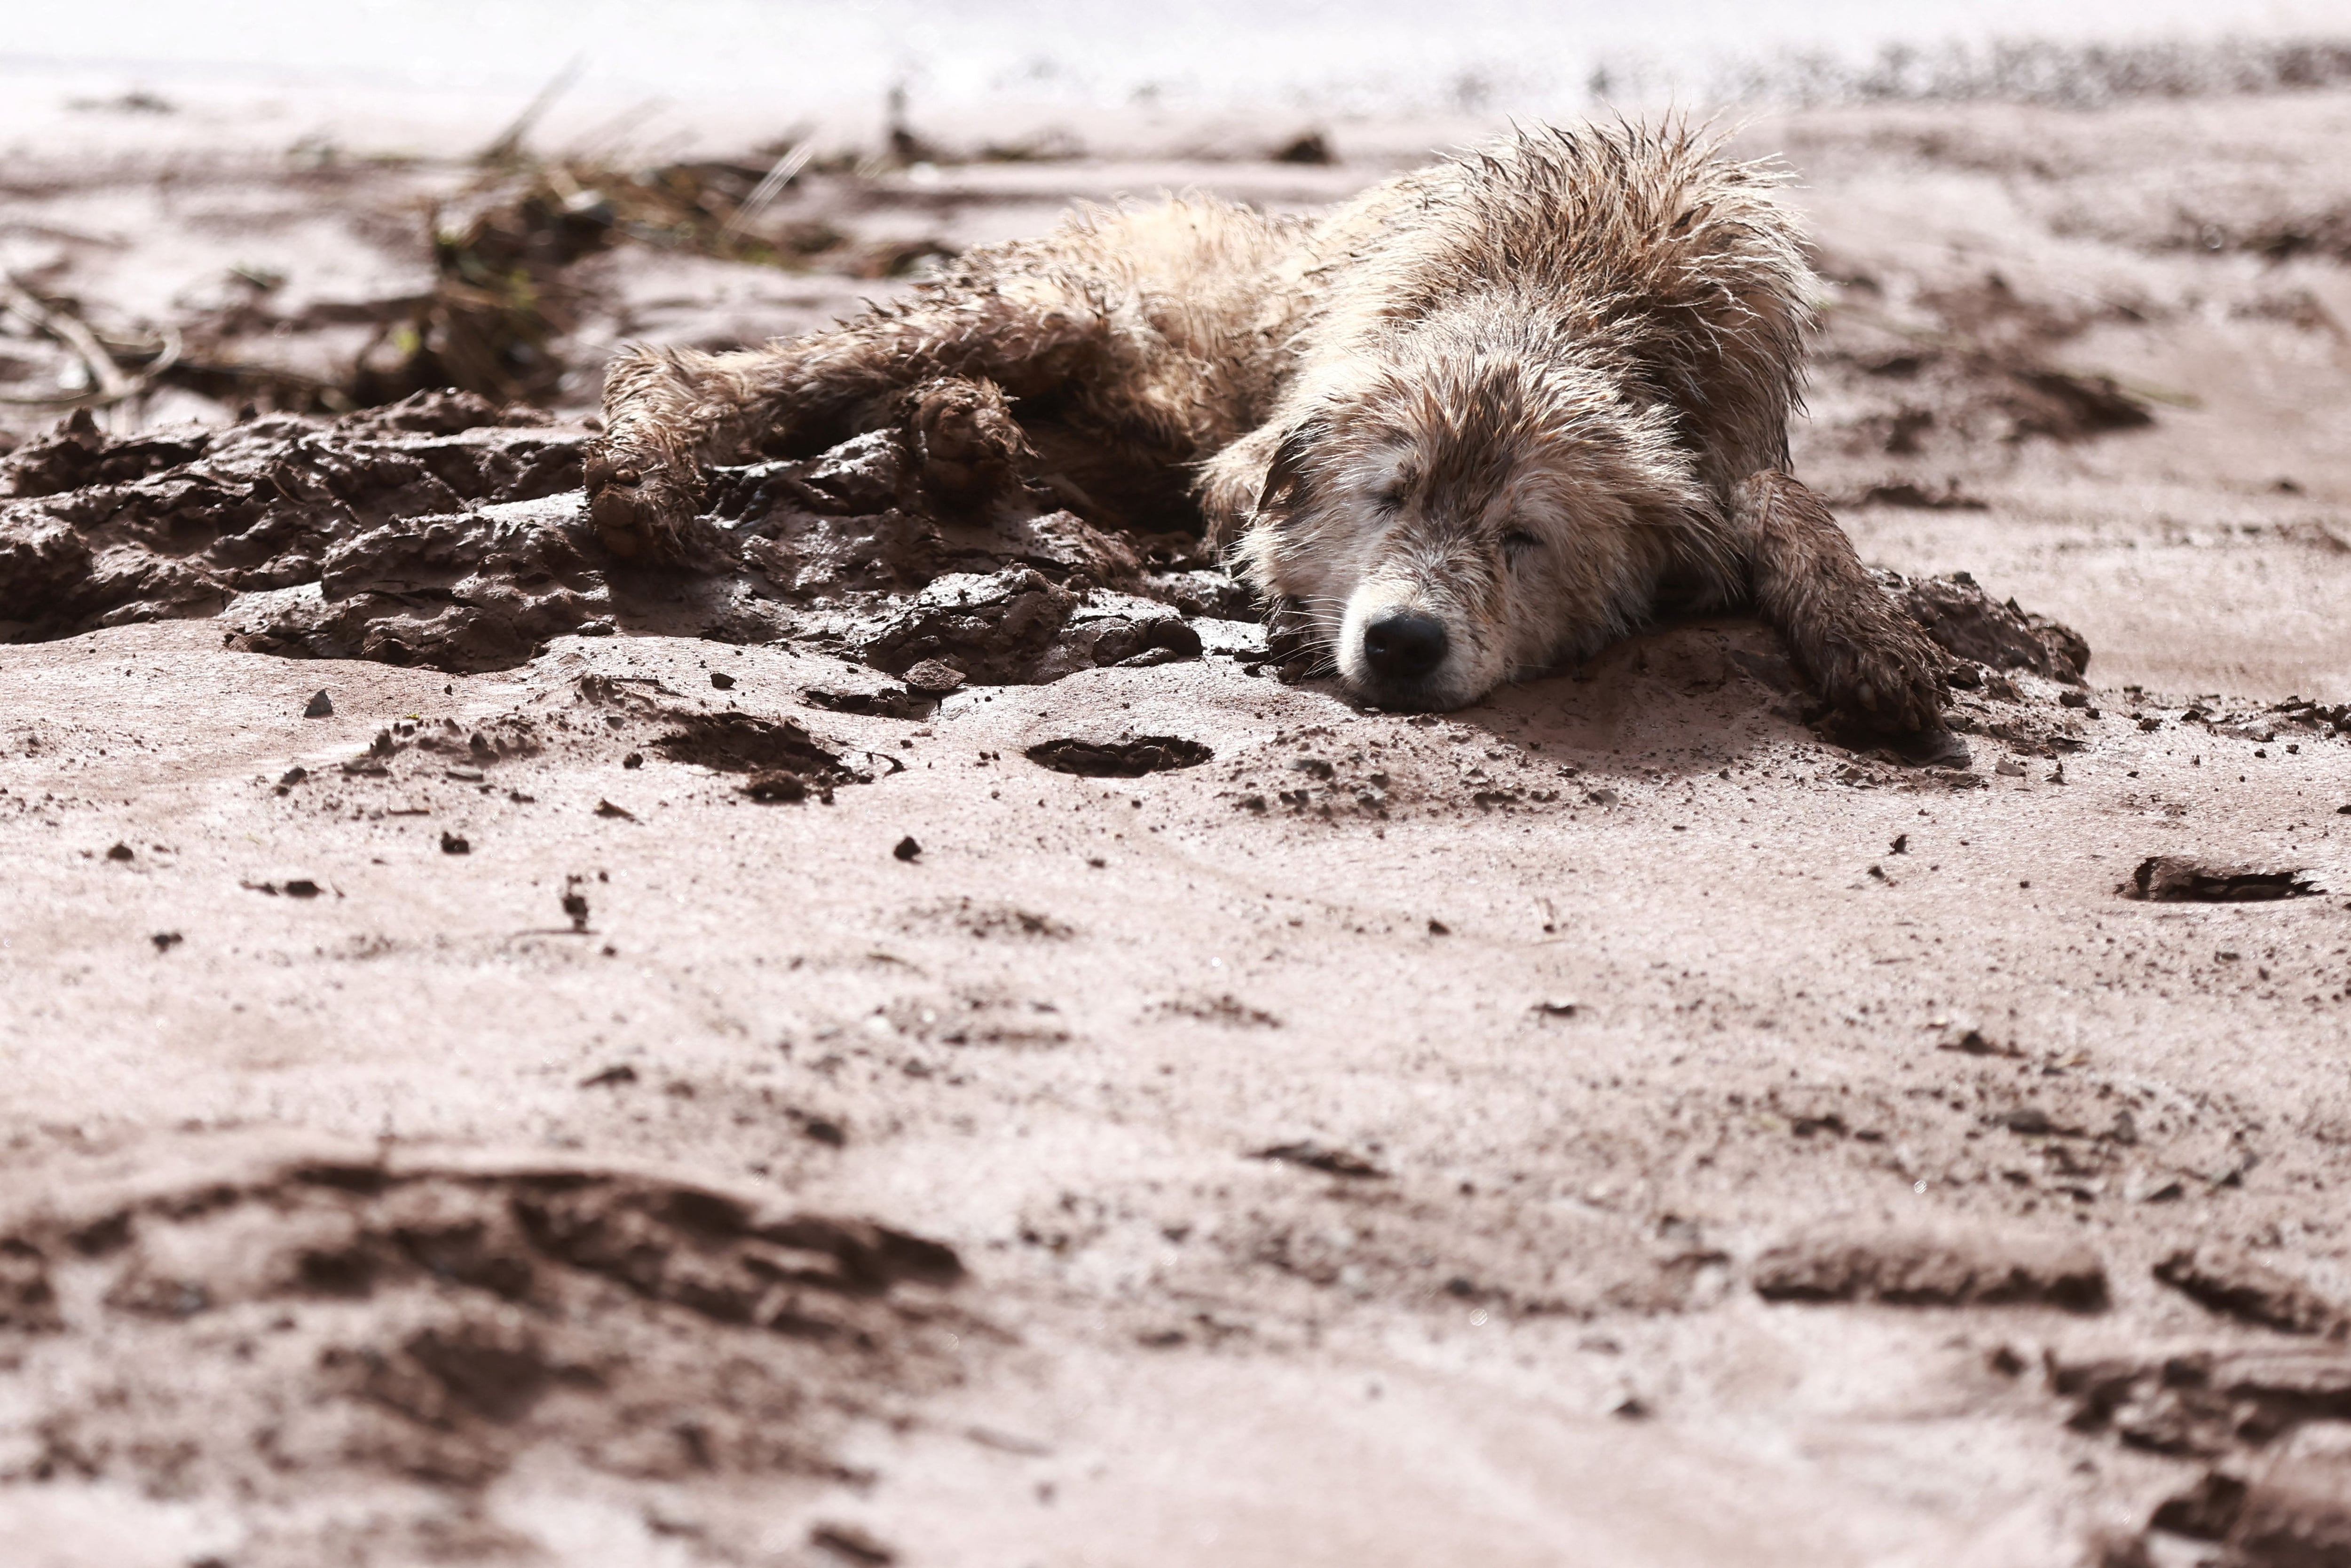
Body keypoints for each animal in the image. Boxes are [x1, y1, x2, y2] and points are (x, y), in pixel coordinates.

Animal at [583, 123, 1947, 729]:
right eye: (1387, 494)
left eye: (1526, 538)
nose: (1402, 641)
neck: (1564, 296)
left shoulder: (1731, 439)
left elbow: (1789, 510)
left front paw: (1869, 638)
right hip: (1059, 308)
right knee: (733, 372)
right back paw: (657, 451)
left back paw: (961, 437)